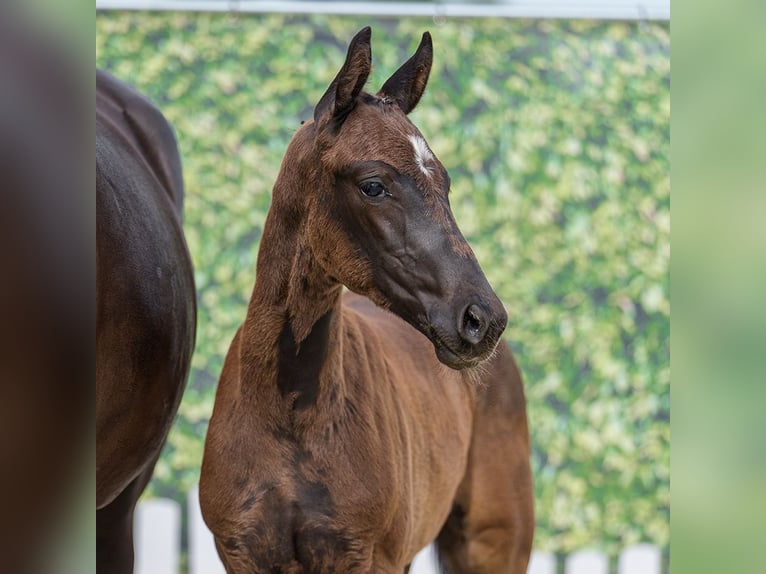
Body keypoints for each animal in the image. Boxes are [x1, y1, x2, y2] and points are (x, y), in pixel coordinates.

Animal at [200, 27, 534, 573]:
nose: (483, 319)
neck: (289, 419)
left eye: (445, 183)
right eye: (373, 185)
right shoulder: (241, 554)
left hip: (493, 542)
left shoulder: (369, 557)